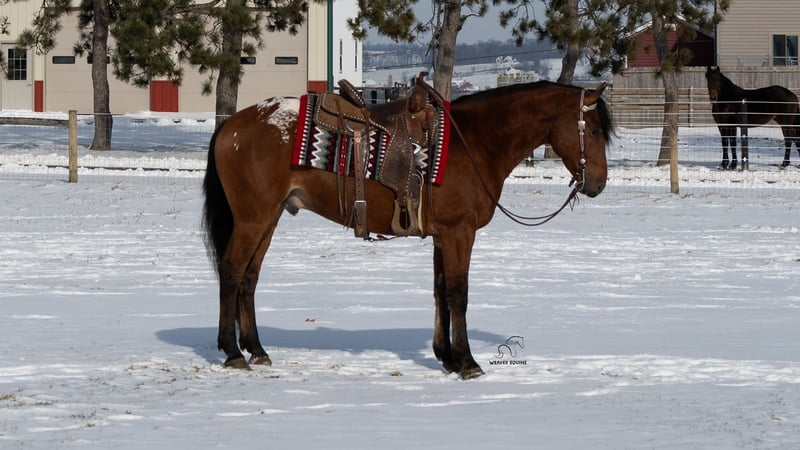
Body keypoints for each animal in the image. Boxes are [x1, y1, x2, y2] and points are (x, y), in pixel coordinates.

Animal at [202, 80, 614, 379]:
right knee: (232, 271)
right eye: (594, 132)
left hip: (268, 217)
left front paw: (446, 357)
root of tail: (231, 125)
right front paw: (467, 362)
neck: (475, 142)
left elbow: (440, 292)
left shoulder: (443, 237)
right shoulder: (459, 233)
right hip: (253, 218)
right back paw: (233, 351)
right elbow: (458, 294)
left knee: (249, 277)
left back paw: (257, 349)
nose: (598, 184)